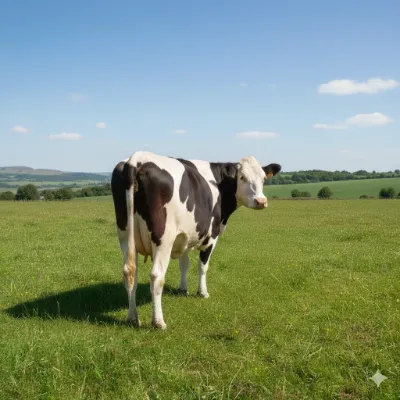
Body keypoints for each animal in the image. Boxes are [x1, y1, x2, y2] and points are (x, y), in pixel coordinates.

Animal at [111, 151, 281, 329]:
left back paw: (133, 317)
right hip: (163, 239)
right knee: (156, 276)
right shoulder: (211, 237)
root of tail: (137, 158)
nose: (261, 201)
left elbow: (184, 265)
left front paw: (182, 289)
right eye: (242, 177)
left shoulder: (183, 236)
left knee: (130, 273)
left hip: (125, 236)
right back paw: (158, 322)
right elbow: (202, 266)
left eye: (263, 178)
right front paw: (202, 292)